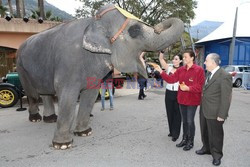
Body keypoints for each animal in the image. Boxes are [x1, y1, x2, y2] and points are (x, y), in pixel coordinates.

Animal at [15, 4, 184, 150]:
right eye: (134, 30)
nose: (158, 28)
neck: (94, 21)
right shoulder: (67, 63)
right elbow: (68, 97)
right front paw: (62, 145)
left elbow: (90, 95)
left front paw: (85, 133)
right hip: (21, 67)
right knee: (32, 94)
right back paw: (36, 118)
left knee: (45, 93)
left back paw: (50, 119)